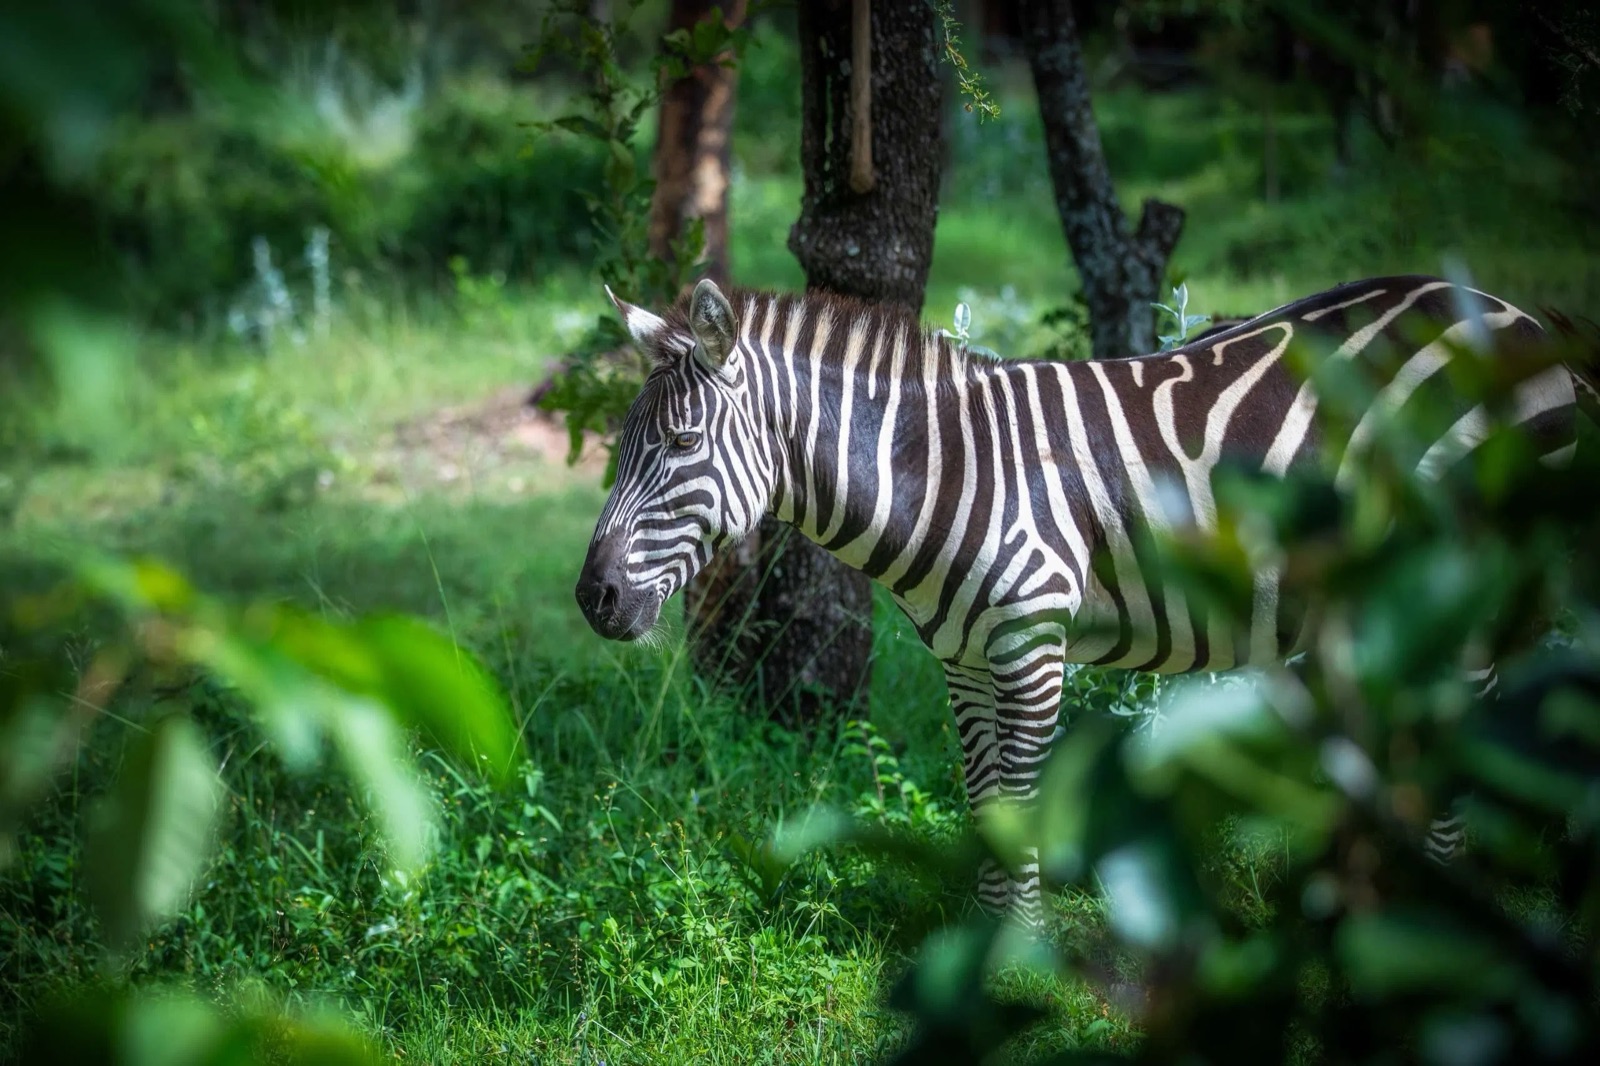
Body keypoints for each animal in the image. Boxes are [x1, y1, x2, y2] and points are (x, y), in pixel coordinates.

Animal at [573, 274, 1581, 923]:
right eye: (624, 447)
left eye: (682, 444)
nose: (593, 600)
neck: (943, 470)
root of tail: (1517, 314)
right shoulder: (966, 664)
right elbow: (984, 800)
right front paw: (982, 940)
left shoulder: (1032, 650)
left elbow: (1018, 804)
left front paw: (1014, 956)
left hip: (1470, 569)